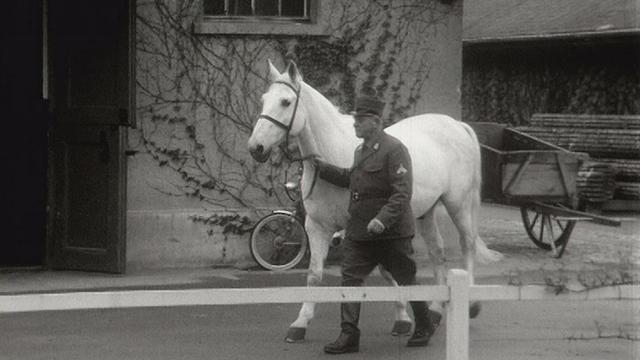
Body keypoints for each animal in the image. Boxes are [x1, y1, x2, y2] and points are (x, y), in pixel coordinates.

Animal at [248, 60, 502, 342]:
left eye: (285, 101)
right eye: (263, 100)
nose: (256, 148)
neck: (337, 153)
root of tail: (457, 125)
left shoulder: (364, 227)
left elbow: (386, 271)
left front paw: (402, 318)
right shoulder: (317, 227)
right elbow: (315, 275)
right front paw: (300, 323)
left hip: (458, 205)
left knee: (467, 245)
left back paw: (470, 304)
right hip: (425, 213)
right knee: (438, 251)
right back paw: (435, 310)